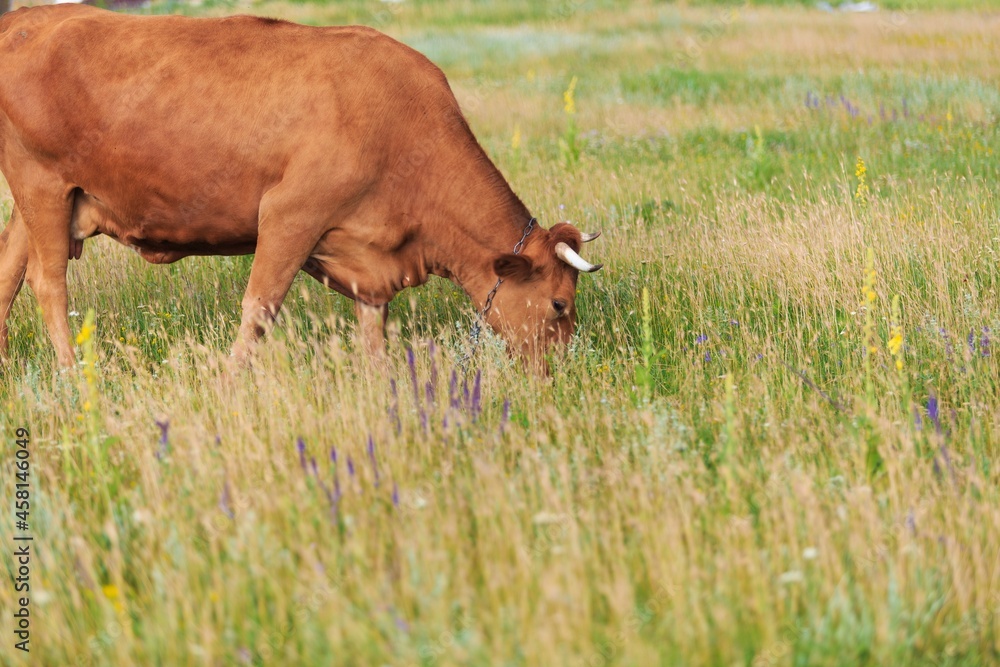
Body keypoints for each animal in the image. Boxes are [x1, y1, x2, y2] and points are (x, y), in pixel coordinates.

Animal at [0, 3, 600, 370]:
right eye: (559, 306)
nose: (558, 374)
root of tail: (32, 16)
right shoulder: (291, 214)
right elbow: (260, 307)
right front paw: (230, 384)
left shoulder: (369, 258)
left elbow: (374, 328)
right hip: (42, 184)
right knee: (48, 284)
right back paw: (72, 375)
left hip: (42, 201)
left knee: (9, 271)